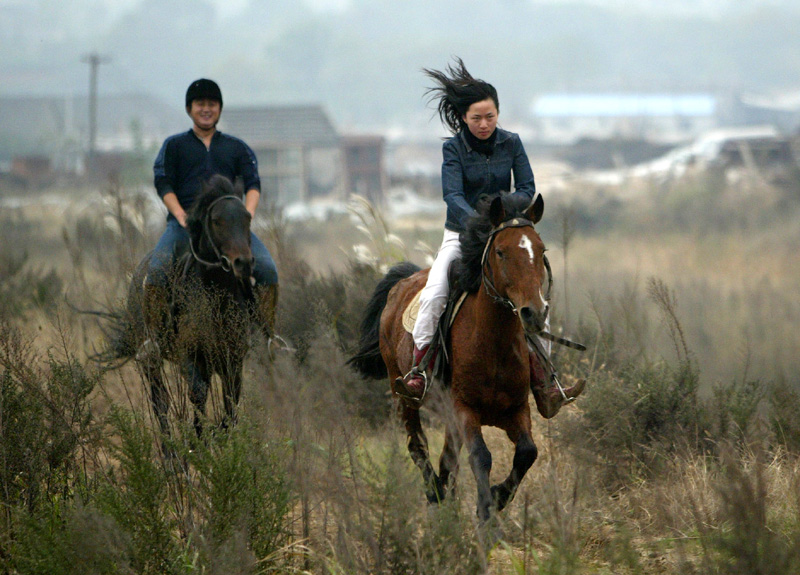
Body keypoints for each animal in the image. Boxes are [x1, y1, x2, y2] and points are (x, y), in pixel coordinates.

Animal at [350, 194, 580, 520]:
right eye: (500, 252)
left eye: (541, 250)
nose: (534, 313)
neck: (494, 343)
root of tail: (400, 283)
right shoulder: (464, 408)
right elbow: (481, 456)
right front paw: (485, 512)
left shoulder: (517, 409)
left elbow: (527, 452)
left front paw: (496, 496)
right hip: (402, 395)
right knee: (418, 446)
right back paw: (434, 492)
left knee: (447, 457)